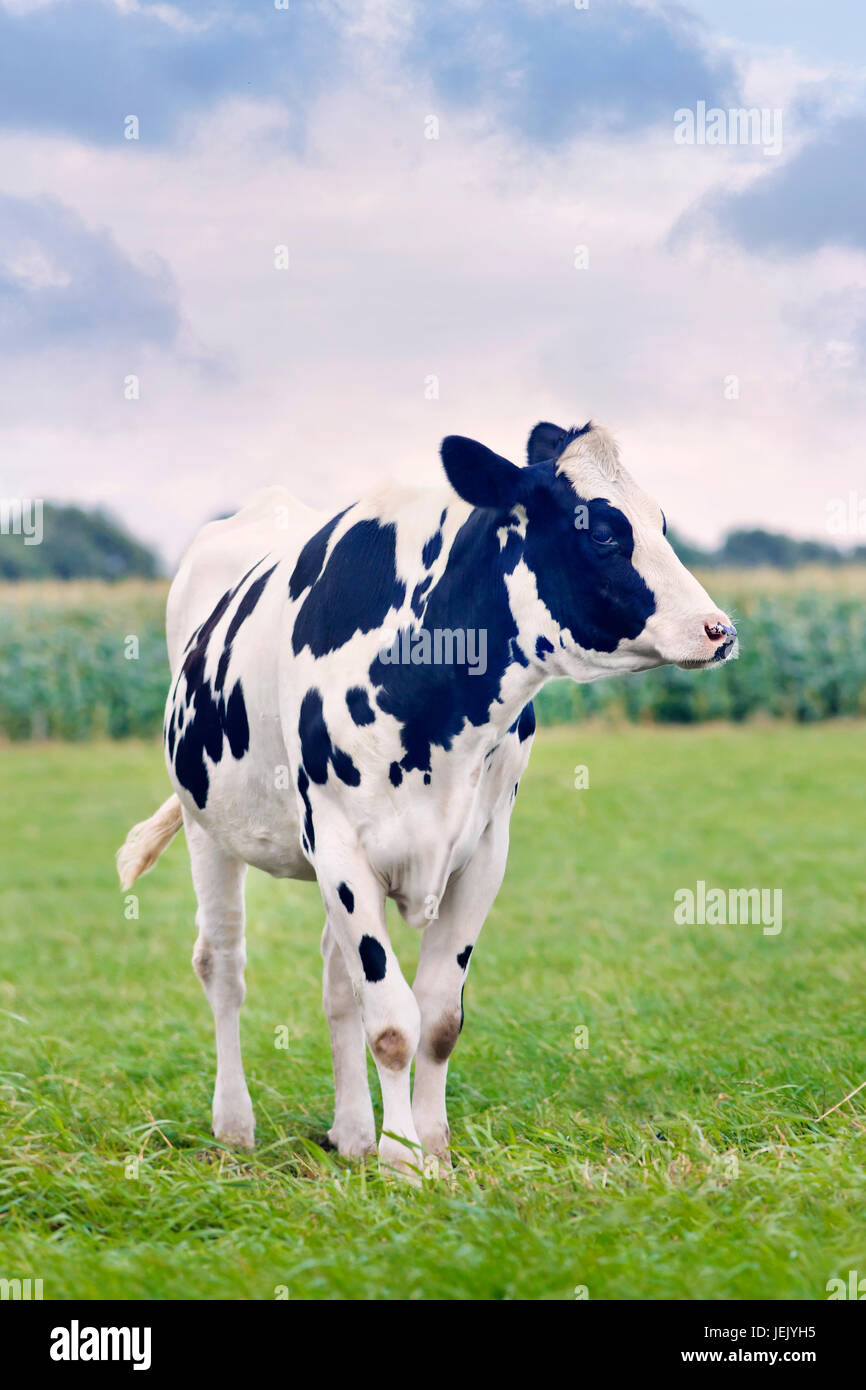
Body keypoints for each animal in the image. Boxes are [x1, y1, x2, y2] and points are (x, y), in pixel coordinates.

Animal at [115, 417, 739, 1178]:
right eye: (600, 532)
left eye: (660, 520)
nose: (719, 630)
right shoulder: (340, 845)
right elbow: (392, 1021)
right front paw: (403, 1157)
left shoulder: (484, 850)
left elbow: (438, 1016)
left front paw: (431, 1145)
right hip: (209, 823)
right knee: (223, 965)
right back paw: (236, 1125)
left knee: (335, 983)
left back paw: (352, 1132)